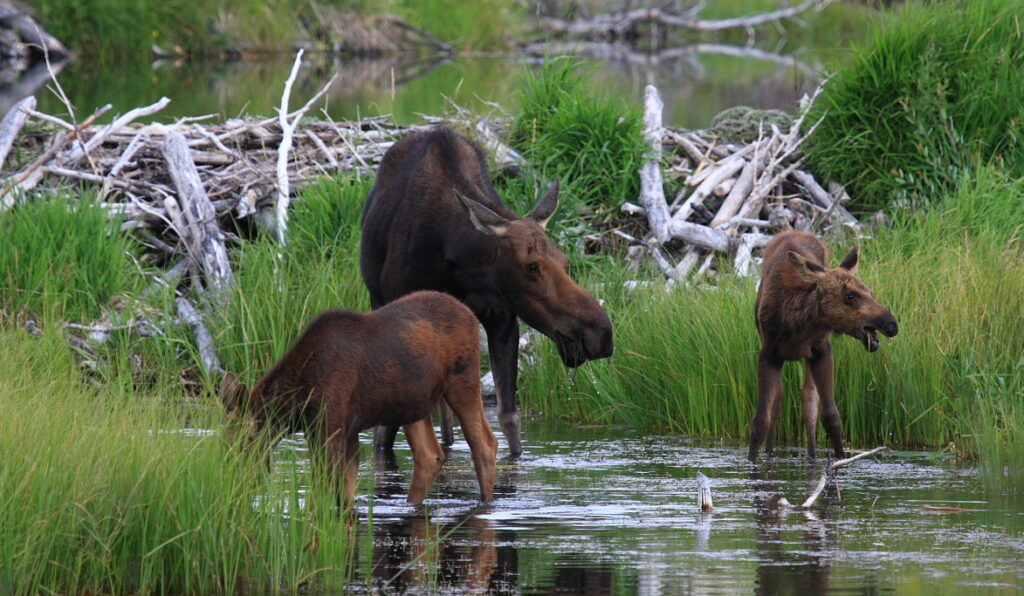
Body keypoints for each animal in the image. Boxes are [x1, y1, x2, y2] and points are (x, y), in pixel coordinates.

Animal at [220, 292, 499, 507]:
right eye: (225, 443)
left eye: (243, 442)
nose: (228, 482)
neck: (296, 406)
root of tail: (472, 316)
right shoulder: (345, 432)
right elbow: (344, 494)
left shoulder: (330, 429)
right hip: (414, 405)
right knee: (430, 456)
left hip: (463, 382)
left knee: (484, 444)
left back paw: (486, 504)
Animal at [362, 128, 614, 458]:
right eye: (532, 266)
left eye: (564, 261)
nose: (601, 333)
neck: (461, 267)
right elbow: (386, 432)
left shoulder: (503, 320)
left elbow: (510, 419)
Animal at [749, 232, 901, 462]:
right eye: (849, 296)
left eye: (871, 292)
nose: (891, 324)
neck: (796, 326)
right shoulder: (769, 353)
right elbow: (761, 421)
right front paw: (752, 462)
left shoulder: (821, 350)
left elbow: (831, 416)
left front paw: (840, 460)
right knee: (780, 401)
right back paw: (771, 454)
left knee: (808, 401)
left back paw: (812, 456)